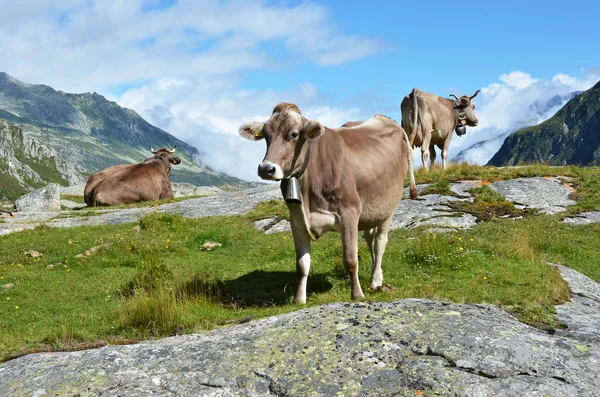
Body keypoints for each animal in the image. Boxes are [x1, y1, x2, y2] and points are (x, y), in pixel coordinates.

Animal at [239, 103, 418, 304]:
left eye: (293, 134)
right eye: (266, 135)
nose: (266, 169)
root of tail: (384, 118)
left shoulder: (349, 213)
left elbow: (350, 259)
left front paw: (357, 294)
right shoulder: (296, 220)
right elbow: (301, 264)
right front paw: (299, 299)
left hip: (388, 207)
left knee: (380, 241)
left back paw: (376, 280)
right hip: (371, 210)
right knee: (370, 238)